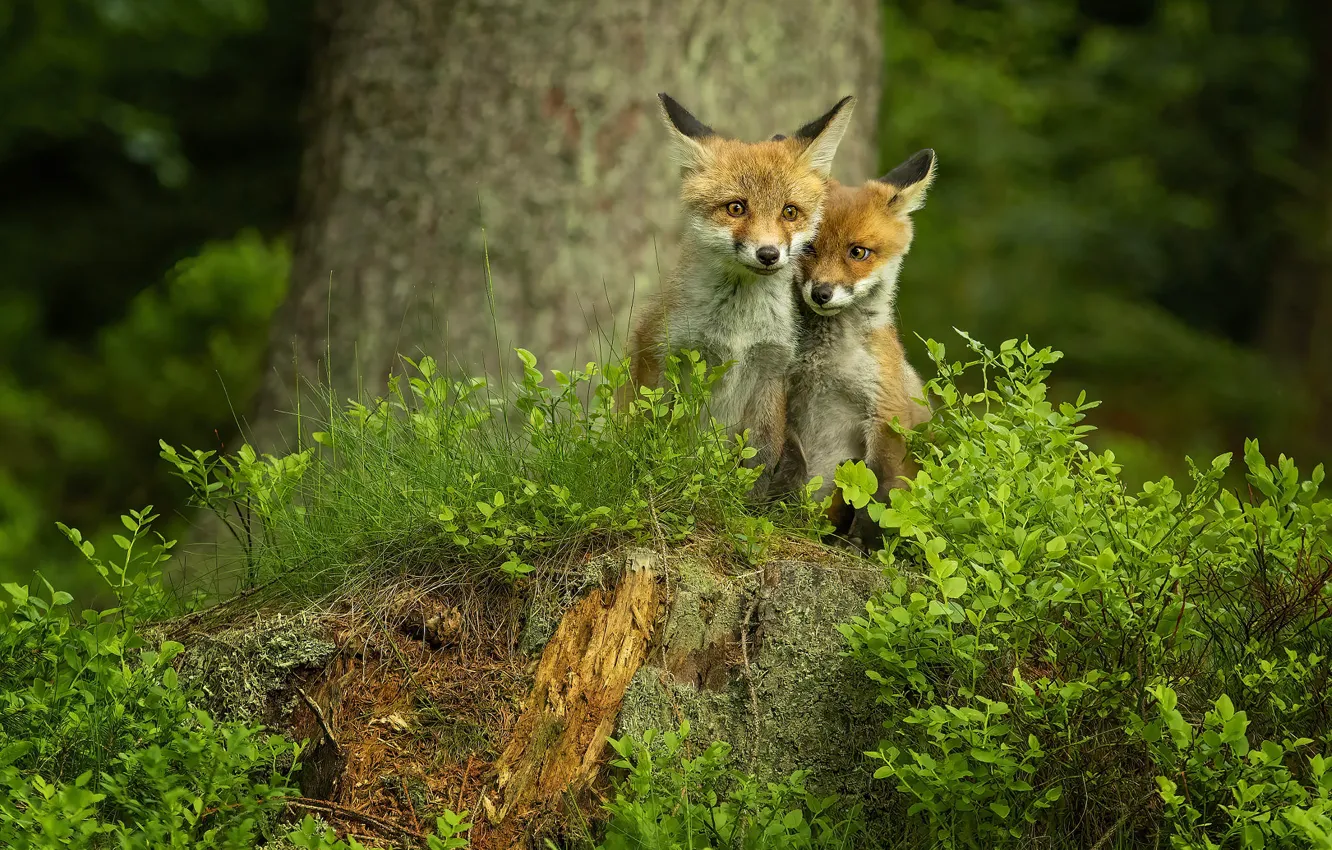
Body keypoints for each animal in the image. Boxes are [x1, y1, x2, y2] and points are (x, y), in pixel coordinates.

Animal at [622, 93, 857, 499]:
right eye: (736, 208)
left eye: (789, 212)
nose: (768, 254)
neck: (738, 331)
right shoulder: (665, 355)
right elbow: (659, 437)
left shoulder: (770, 371)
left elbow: (759, 458)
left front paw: (747, 503)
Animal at [773, 148, 937, 548]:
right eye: (809, 247)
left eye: (858, 252)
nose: (821, 293)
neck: (827, 364)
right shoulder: (781, 392)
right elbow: (793, 462)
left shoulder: (884, 415)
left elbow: (880, 496)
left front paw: (863, 545)